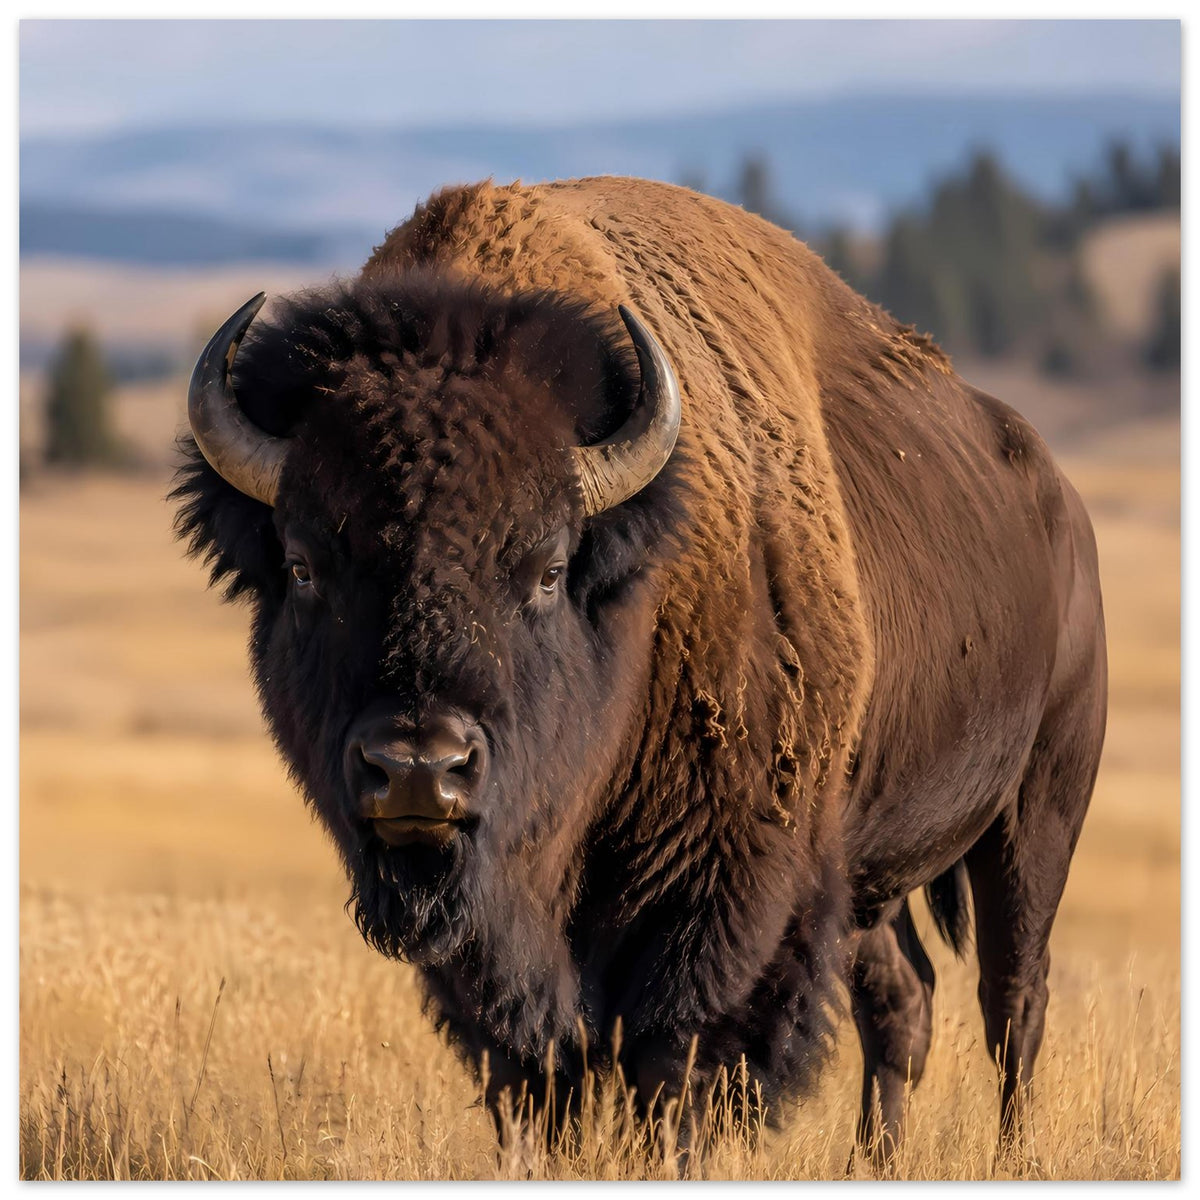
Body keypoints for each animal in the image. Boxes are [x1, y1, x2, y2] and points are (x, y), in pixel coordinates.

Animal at [173, 176, 1107, 1165]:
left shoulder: (721, 897)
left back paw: (1010, 1154)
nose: (420, 768)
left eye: (546, 568)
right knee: (904, 997)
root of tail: (1058, 500)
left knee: (1013, 998)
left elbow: (674, 1066)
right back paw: (874, 1161)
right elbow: (537, 1073)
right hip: (865, 864)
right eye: (304, 565)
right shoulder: (498, 944)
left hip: (1036, 812)